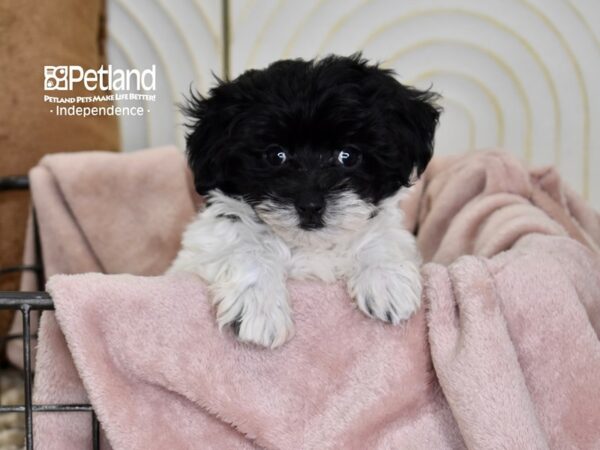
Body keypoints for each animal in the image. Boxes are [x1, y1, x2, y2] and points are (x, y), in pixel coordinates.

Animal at [169, 53, 440, 348]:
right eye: (276, 155)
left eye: (348, 155)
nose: (310, 205)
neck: (310, 246)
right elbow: (244, 246)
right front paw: (259, 307)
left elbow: (379, 236)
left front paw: (385, 278)